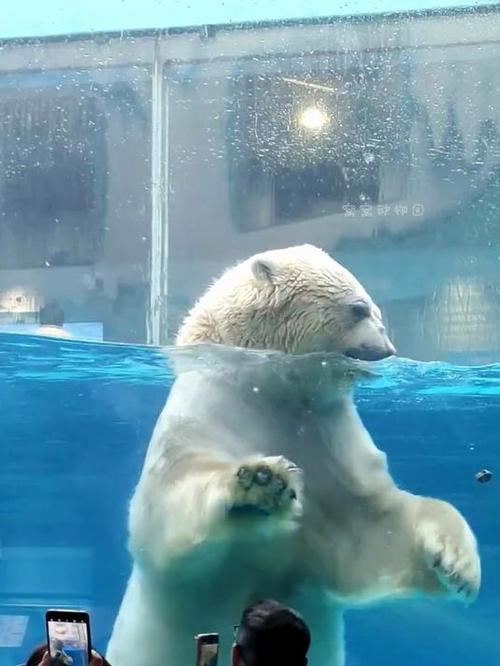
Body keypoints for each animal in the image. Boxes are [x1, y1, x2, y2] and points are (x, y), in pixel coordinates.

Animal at [107, 244, 480, 666]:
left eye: (377, 311)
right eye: (358, 309)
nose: (388, 351)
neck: (269, 385)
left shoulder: (329, 441)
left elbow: (370, 528)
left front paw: (458, 562)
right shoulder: (206, 411)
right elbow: (165, 507)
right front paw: (260, 483)